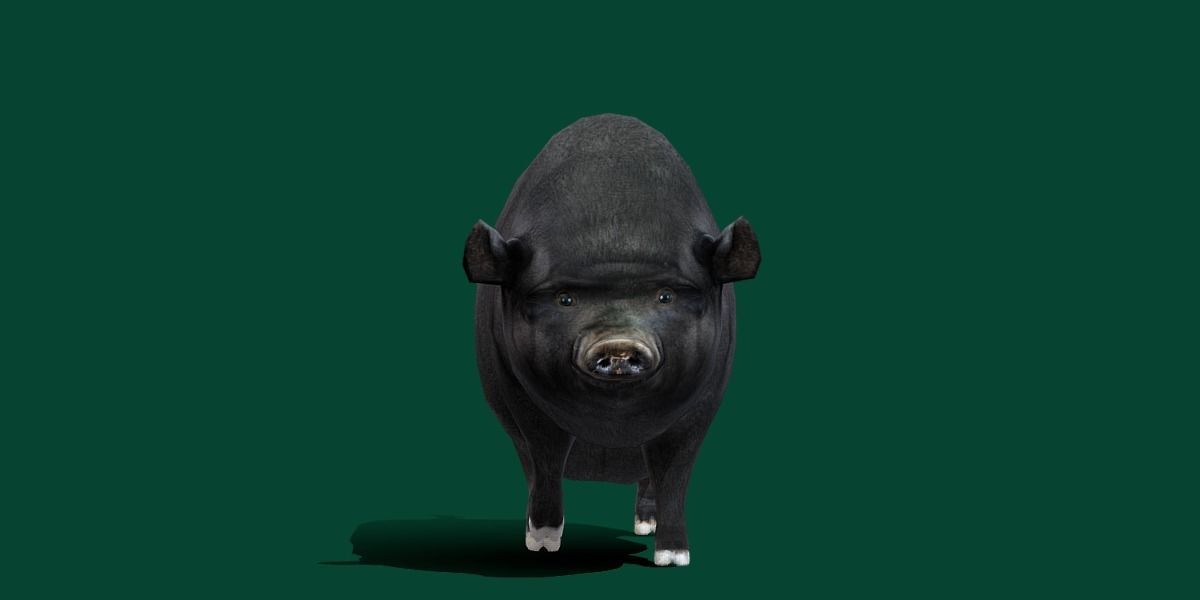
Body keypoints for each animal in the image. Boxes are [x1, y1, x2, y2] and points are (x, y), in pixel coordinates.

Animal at [462, 114, 760, 567]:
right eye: (565, 298)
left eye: (666, 295)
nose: (618, 346)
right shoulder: (522, 398)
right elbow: (546, 459)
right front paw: (543, 544)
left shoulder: (703, 402)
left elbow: (675, 472)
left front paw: (673, 559)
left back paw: (645, 527)